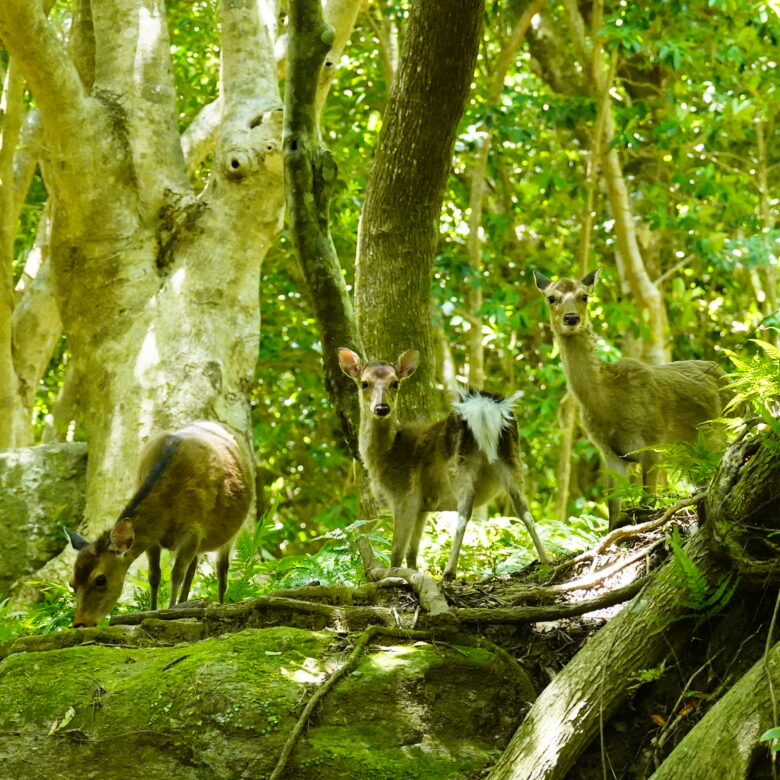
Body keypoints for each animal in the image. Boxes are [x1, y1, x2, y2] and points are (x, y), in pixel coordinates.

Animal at [66, 420, 253, 628]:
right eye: (72, 583)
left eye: (100, 579)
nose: (80, 622)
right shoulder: (153, 540)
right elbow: (154, 576)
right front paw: (153, 609)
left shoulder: (193, 530)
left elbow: (176, 573)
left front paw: (170, 610)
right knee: (193, 566)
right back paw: (185, 602)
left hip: (232, 533)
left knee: (222, 569)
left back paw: (219, 603)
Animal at [338, 348, 552, 580]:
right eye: (364, 383)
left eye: (395, 383)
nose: (381, 408)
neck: (385, 454)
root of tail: (485, 409)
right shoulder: (423, 506)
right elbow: (413, 551)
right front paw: (414, 572)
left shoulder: (405, 495)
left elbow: (397, 551)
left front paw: (395, 574)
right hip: (511, 459)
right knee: (523, 508)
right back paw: (546, 560)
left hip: (459, 464)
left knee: (465, 510)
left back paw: (449, 571)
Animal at [532, 268, 728, 532]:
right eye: (551, 298)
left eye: (584, 296)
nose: (571, 318)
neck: (608, 403)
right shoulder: (609, 452)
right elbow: (613, 513)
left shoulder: (654, 441)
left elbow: (648, 501)